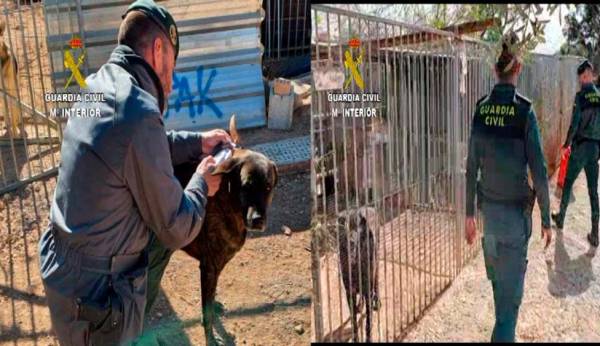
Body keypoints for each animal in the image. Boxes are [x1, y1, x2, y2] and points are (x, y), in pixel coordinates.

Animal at [172, 117, 278, 346]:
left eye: (267, 187)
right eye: (246, 186)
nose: (257, 220)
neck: (228, 200)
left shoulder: (217, 266)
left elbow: (210, 302)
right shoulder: (208, 267)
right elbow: (207, 314)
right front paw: (210, 339)